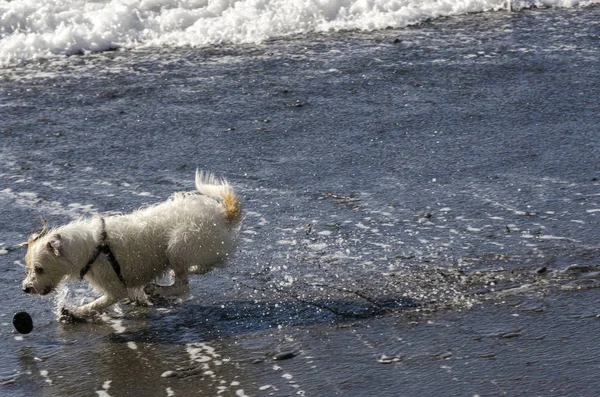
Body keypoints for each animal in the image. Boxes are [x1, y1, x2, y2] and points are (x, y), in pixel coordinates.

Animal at [21, 171, 241, 318]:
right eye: (29, 268)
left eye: (39, 269)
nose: (26, 288)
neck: (91, 249)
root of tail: (222, 214)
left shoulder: (114, 287)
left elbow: (98, 304)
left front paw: (75, 312)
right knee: (207, 266)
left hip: (179, 245)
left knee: (183, 286)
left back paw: (159, 289)